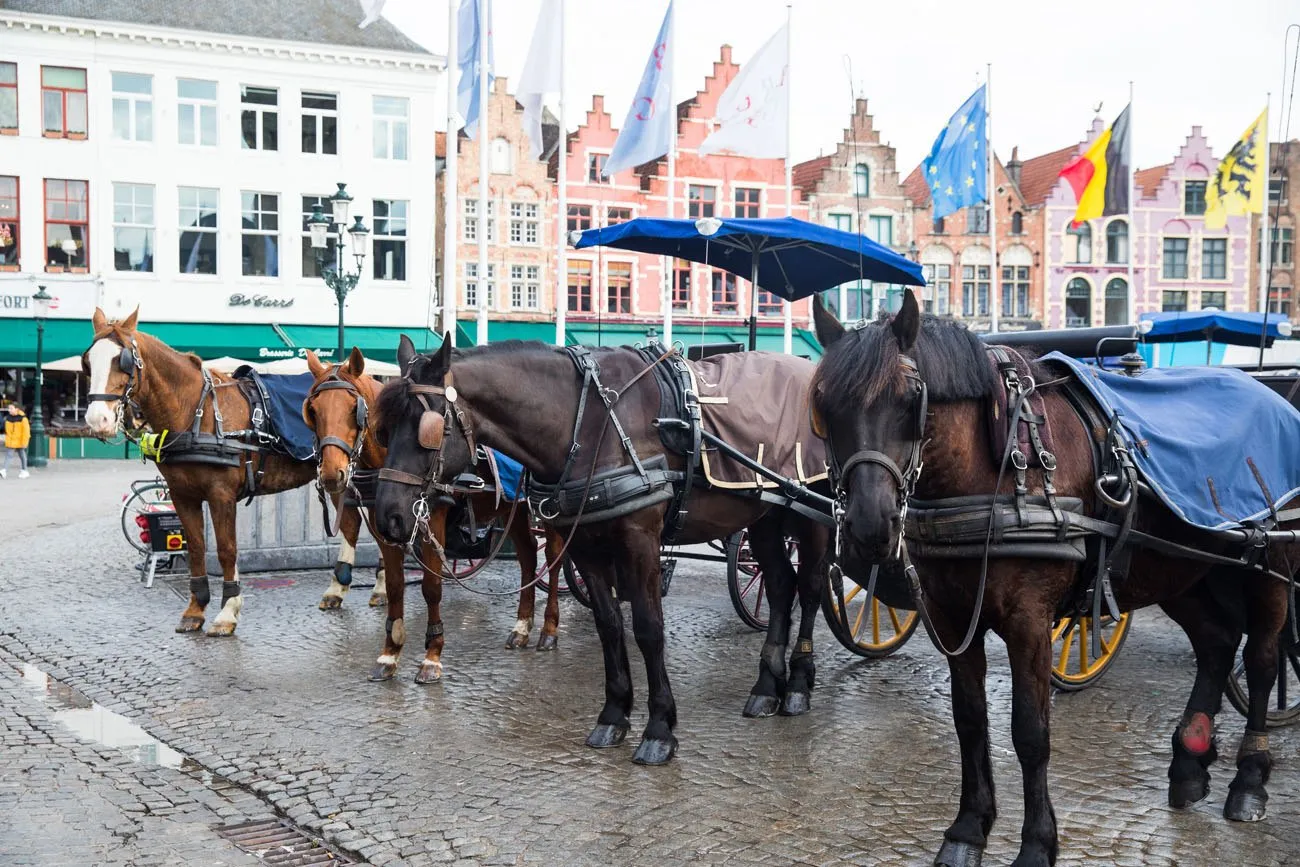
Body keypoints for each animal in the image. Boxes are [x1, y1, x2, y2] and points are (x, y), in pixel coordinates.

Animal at [81, 308, 361, 634]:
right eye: (88, 362)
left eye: (122, 361)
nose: (97, 419)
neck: (194, 414)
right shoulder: (182, 495)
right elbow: (197, 548)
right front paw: (195, 608)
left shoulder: (221, 495)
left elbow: (227, 549)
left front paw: (228, 610)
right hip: (336, 476)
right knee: (351, 522)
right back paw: (338, 589)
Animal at [306, 348, 572, 686]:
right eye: (313, 411)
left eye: (356, 409)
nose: (331, 474)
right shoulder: (387, 529)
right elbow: (395, 586)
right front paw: (389, 654)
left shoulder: (432, 523)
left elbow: (432, 587)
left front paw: (431, 656)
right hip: (513, 510)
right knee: (526, 557)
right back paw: (522, 627)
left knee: (553, 559)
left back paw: (549, 630)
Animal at [371, 335, 826, 764]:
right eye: (382, 429)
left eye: (428, 429)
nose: (387, 517)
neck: (591, 422)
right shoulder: (585, 549)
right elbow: (609, 626)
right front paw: (613, 716)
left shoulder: (641, 542)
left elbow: (648, 629)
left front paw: (659, 729)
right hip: (765, 518)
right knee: (780, 587)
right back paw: (766, 689)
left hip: (815, 515)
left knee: (811, 588)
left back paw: (798, 687)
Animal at [811, 289, 1300, 867]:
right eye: (823, 406)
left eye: (911, 400)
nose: (869, 526)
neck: (997, 464)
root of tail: (1276, 399)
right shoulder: (951, 616)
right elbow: (969, 719)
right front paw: (968, 828)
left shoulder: (1029, 621)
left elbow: (1030, 732)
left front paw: (1037, 844)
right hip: (1183, 570)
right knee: (1217, 642)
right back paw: (1189, 763)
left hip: (1270, 568)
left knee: (1263, 659)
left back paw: (1249, 782)